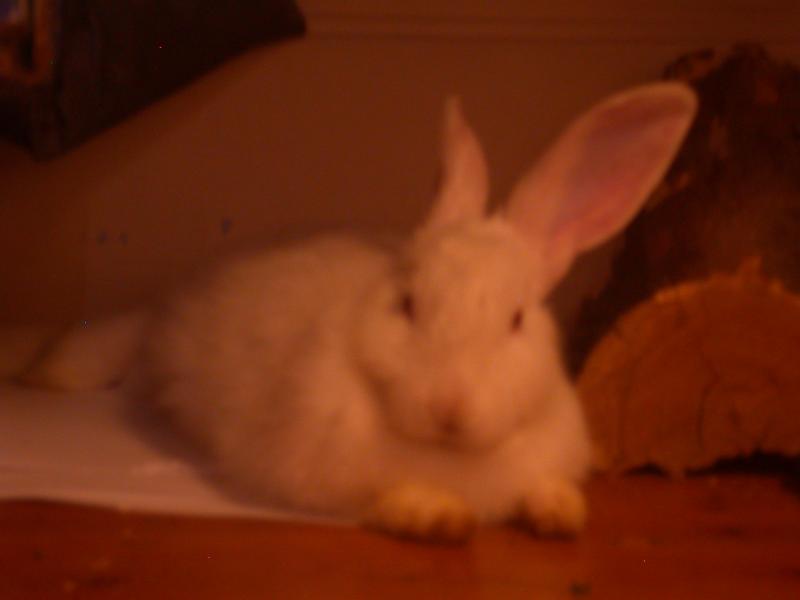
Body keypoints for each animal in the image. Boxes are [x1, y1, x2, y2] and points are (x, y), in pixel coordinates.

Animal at [21, 82, 697, 542]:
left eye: (516, 320)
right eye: (409, 303)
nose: (448, 408)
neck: (450, 454)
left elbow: (547, 489)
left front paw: (561, 513)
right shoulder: (322, 473)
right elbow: (385, 498)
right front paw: (439, 515)